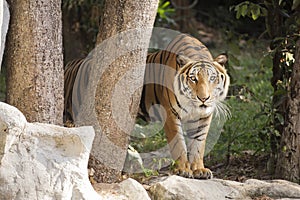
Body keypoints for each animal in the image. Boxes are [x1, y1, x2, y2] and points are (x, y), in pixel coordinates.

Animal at [139, 33, 230, 179]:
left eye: (212, 78)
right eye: (193, 79)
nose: (204, 98)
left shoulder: (204, 118)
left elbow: (199, 143)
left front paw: (199, 169)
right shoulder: (171, 114)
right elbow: (179, 143)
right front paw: (182, 169)